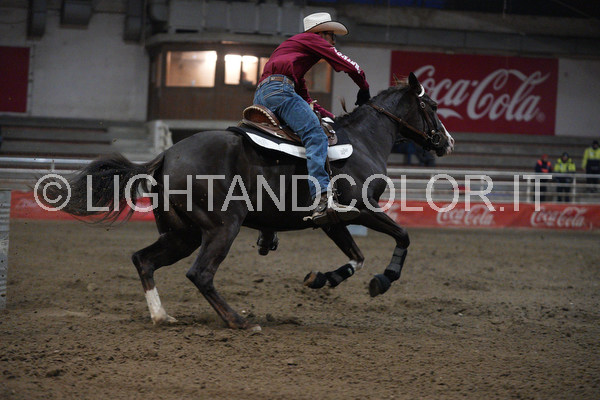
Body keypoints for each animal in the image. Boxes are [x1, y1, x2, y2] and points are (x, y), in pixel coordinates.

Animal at [42, 72, 454, 331]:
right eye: (432, 106)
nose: (448, 142)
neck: (363, 141)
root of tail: (167, 155)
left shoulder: (331, 221)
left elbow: (356, 256)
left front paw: (322, 278)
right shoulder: (362, 210)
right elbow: (402, 236)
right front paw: (383, 281)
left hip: (182, 234)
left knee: (143, 260)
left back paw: (162, 317)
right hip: (223, 227)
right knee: (200, 274)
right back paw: (238, 321)